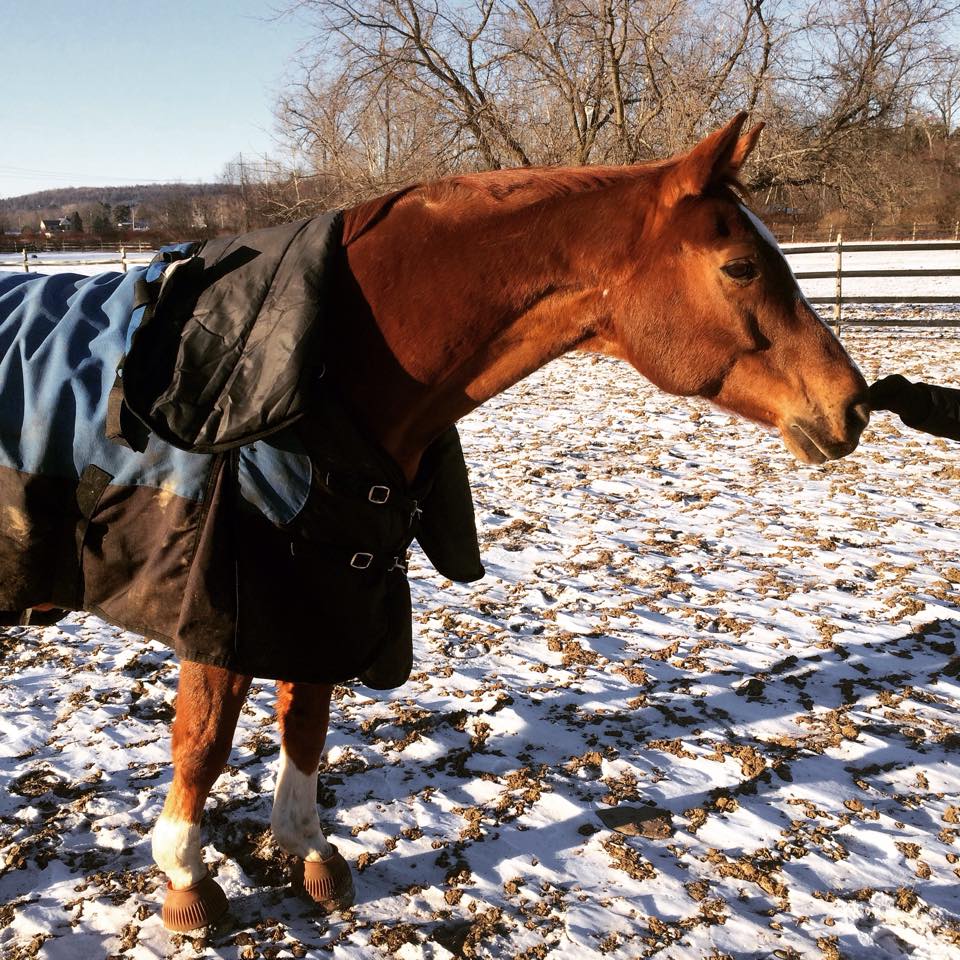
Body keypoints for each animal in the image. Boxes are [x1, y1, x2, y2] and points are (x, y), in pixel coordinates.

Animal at [7, 113, 869, 930]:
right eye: (741, 266)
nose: (855, 405)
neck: (331, 369)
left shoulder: (331, 586)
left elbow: (305, 723)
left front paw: (307, 850)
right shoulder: (226, 603)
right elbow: (204, 740)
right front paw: (186, 876)